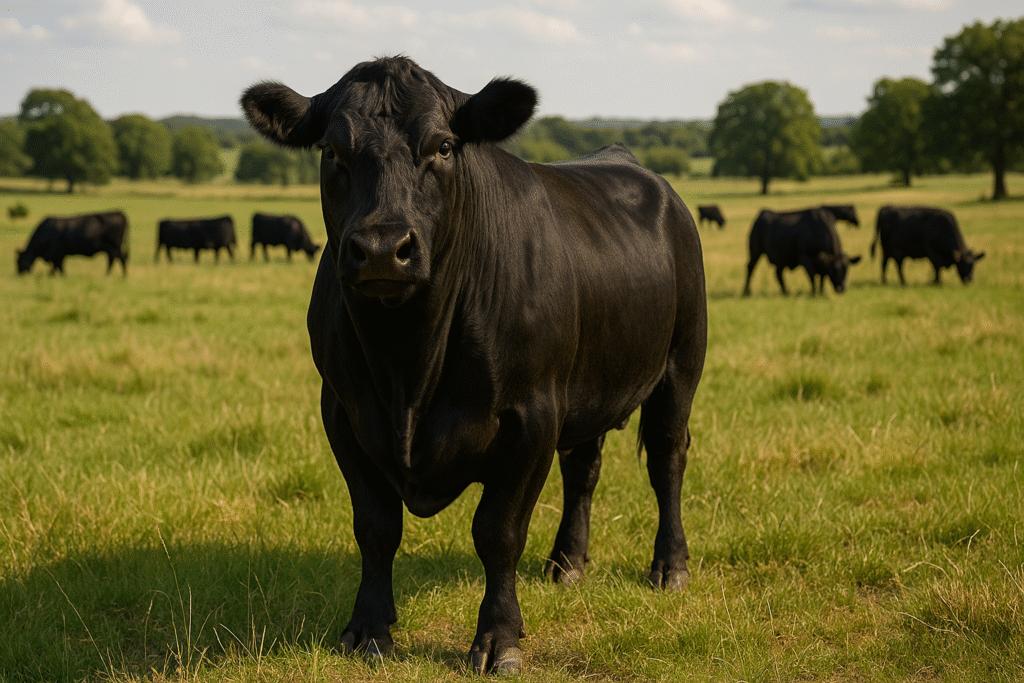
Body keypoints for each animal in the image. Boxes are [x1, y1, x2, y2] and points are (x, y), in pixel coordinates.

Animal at [241, 56, 707, 674]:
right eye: (332, 150)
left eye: (442, 146)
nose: (383, 249)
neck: (408, 366)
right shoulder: (343, 411)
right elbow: (375, 526)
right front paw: (368, 630)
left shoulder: (530, 416)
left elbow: (498, 532)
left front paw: (499, 639)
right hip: (589, 384)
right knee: (584, 467)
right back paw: (567, 564)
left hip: (680, 366)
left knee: (666, 460)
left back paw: (669, 567)